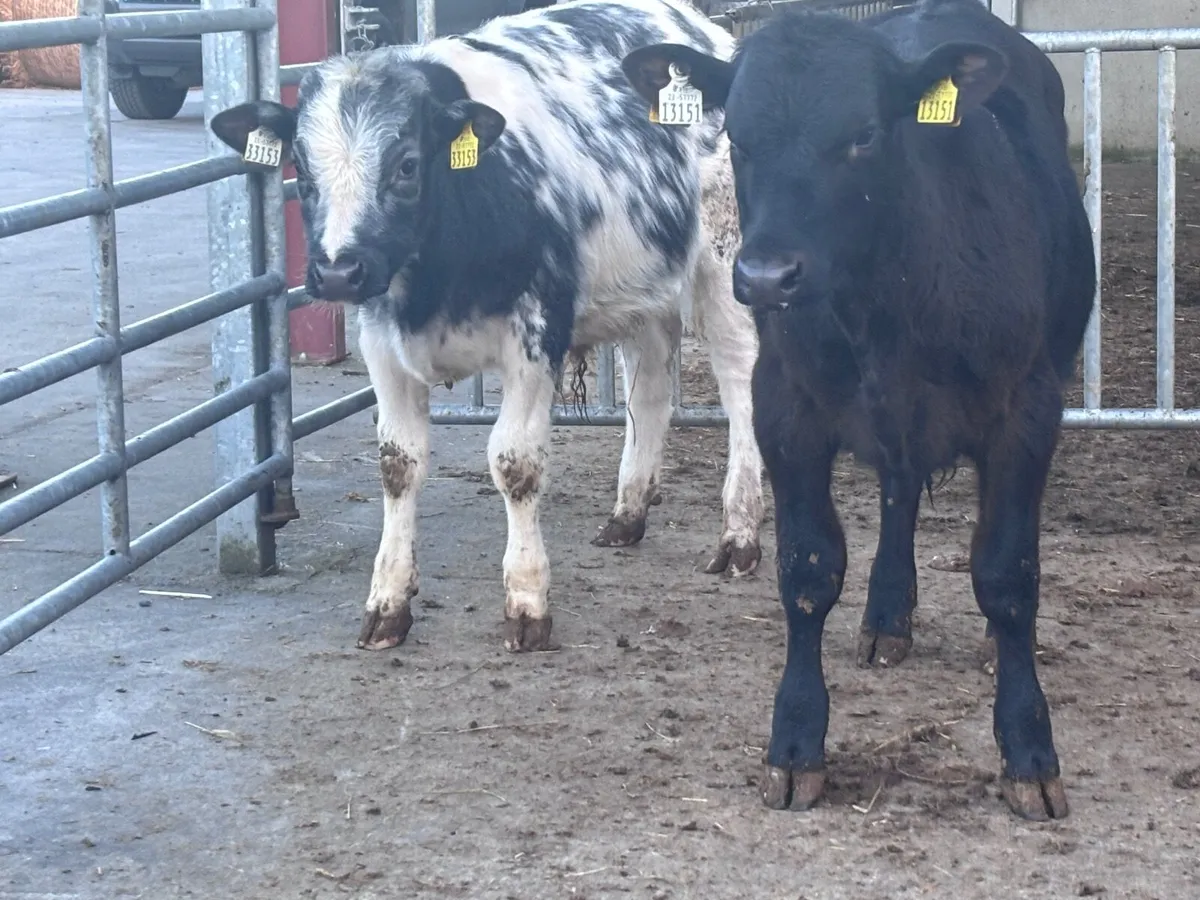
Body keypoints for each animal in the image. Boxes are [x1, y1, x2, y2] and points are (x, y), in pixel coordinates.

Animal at [207, 0, 764, 654]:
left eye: (407, 165)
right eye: (303, 170)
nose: (339, 272)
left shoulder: (536, 336)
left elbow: (514, 463)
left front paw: (526, 599)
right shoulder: (382, 346)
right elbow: (398, 464)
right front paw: (388, 599)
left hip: (724, 267)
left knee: (741, 385)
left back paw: (740, 534)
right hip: (644, 288)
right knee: (650, 391)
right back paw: (628, 515)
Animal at [622, 0, 1094, 820]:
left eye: (865, 135)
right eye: (738, 138)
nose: (765, 276)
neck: (887, 301)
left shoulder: (1027, 412)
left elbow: (1007, 576)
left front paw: (1029, 751)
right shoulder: (786, 408)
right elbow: (808, 570)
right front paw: (795, 744)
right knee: (899, 496)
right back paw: (886, 618)